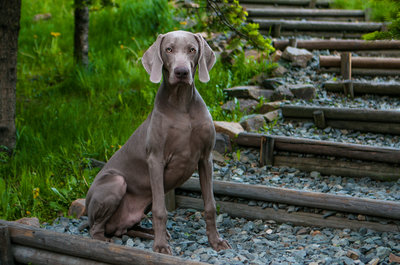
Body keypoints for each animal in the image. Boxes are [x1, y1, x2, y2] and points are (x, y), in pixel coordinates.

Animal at [87, 31, 231, 254]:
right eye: (168, 49)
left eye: (192, 49)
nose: (181, 72)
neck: (182, 105)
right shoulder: (155, 160)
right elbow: (160, 210)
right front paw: (161, 247)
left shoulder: (205, 158)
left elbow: (210, 205)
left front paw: (216, 241)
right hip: (117, 182)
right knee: (95, 228)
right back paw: (105, 241)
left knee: (126, 228)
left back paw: (148, 233)